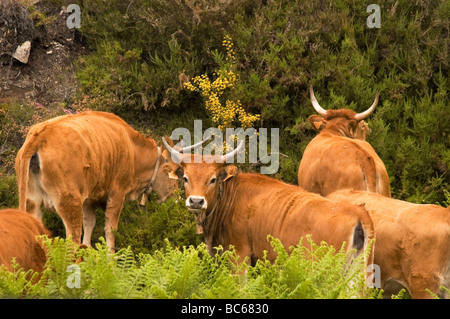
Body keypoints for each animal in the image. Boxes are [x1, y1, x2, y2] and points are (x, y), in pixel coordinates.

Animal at [15, 111, 185, 254]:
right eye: (177, 171)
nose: (177, 198)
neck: (133, 150)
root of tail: (41, 134)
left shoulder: (88, 200)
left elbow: (90, 223)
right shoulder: (117, 195)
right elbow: (110, 229)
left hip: (33, 203)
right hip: (69, 203)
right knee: (72, 241)